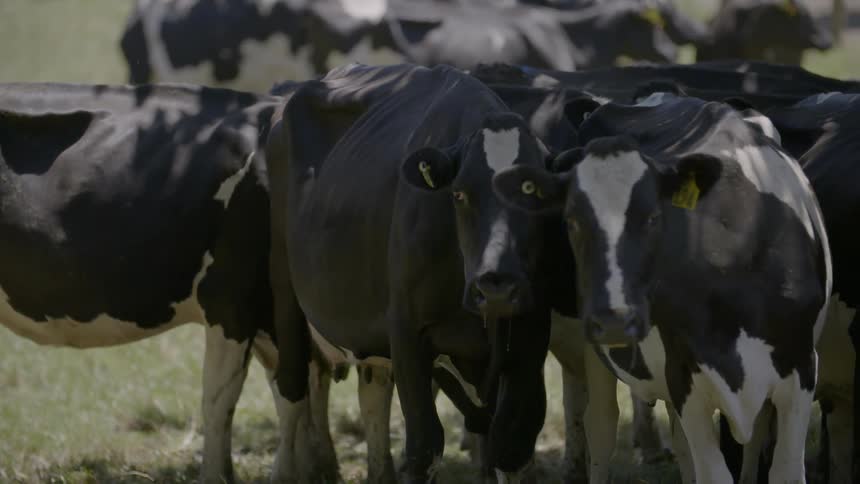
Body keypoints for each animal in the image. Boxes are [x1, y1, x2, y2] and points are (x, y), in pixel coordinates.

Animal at [0, 82, 341, 484]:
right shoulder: (232, 301)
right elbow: (227, 397)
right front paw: (220, 476)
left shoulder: (266, 316)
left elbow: (294, 390)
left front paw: (316, 470)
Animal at [264, 62, 592, 483]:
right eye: (460, 194)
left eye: (533, 193)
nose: (496, 287)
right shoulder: (406, 330)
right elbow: (424, 445)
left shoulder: (529, 336)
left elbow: (511, 445)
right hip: (283, 292)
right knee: (292, 388)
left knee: (372, 393)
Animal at [491, 92, 831, 483]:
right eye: (572, 221)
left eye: (654, 217)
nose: (614, 319)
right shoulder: (684, 375)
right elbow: (712, 472)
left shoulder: (801, 368)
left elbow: (783, 469)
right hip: (599, 348)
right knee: (601, 425)